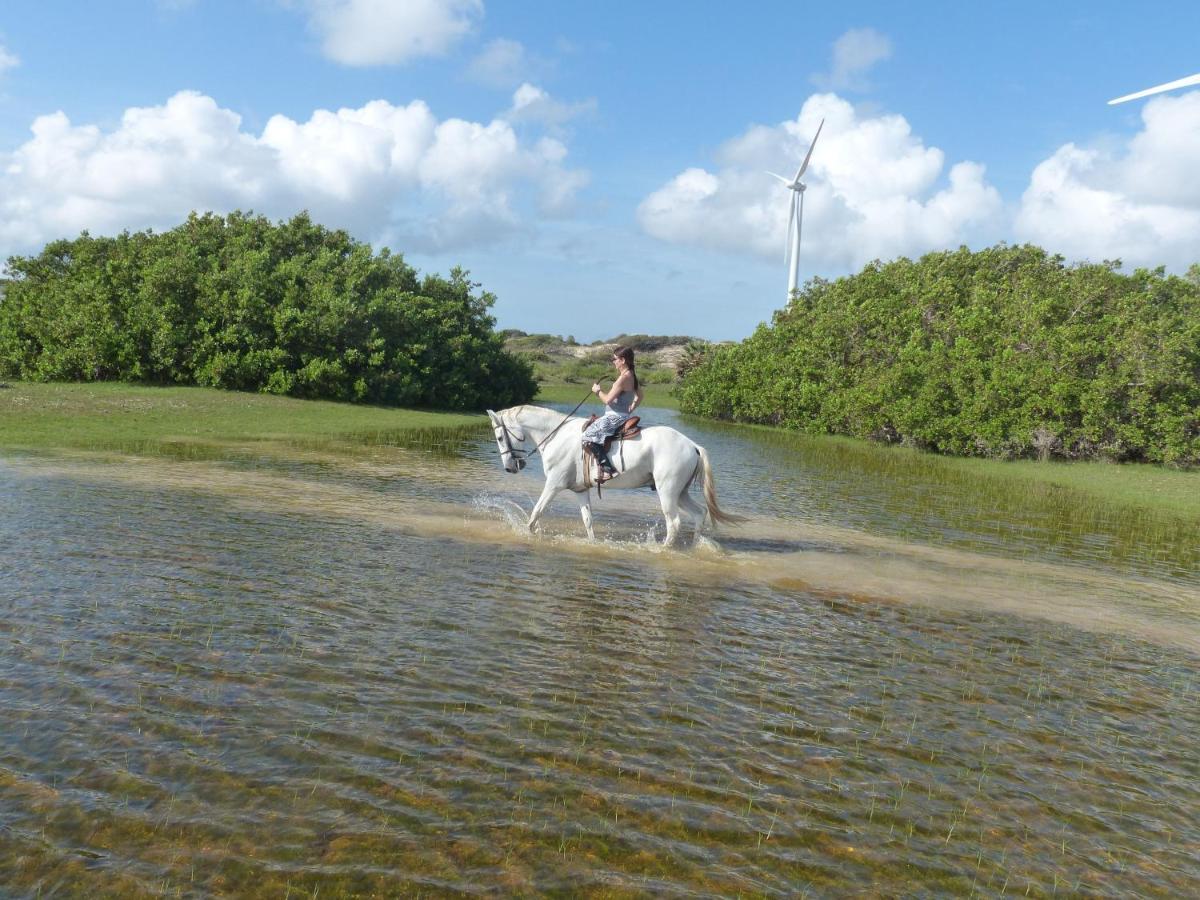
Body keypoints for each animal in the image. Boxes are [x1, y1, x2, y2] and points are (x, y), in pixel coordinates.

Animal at [487, 405, 739, 547]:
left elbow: (535, 514)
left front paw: (527, 535)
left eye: (499, 438)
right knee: (699, 514)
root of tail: (692, 446)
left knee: (674, 524)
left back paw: (662, 549)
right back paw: (695, 546)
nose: (510, 467)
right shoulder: (580, 491)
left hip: (668, 492)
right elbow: (588, 522)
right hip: (680, 493)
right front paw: (592, 544)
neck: (556, 435)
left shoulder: (553, 485)